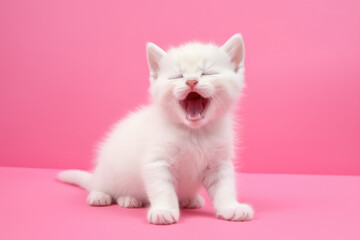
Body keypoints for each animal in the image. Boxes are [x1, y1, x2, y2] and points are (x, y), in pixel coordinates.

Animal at [57, 32, 253, 224]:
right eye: (177, 76)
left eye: (208, 73)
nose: (191, 82)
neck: (194, 132)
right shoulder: (157, 161)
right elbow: (162, 188)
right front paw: (163, 210)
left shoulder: (219, 162)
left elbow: (224, 187)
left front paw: (231, 207)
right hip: (109, 169)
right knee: (102, 185)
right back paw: (105, 195)